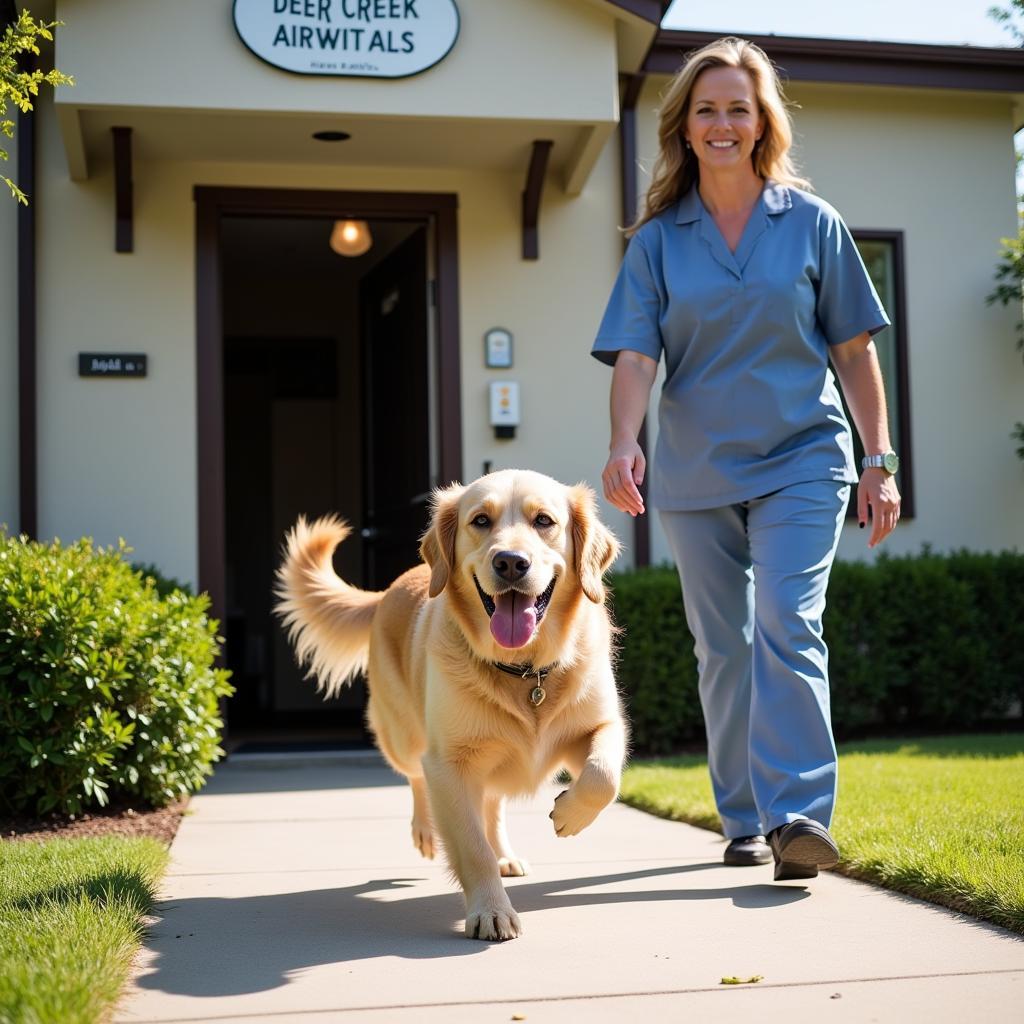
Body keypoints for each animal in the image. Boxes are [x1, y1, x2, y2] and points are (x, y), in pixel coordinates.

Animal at [278, 468, 622, 937]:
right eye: (480, 521)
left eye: (544, 521)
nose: (510, 562)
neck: (525, 671)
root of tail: (388, 589)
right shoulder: (450, 762)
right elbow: (471, 845)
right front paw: (490, 911)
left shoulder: (599, 725)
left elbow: (604, 775)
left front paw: (570, 814)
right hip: (404, 737)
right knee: (417, 777)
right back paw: (426, 831)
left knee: (492, 804)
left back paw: (505, 854)